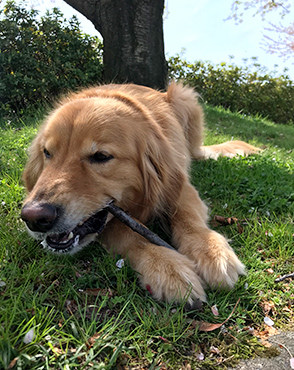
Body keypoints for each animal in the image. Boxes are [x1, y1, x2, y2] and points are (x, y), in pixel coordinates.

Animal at [21, 83, 260, 304]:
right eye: (47, 153)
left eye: (101, 156)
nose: (33, 217)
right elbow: (127, 233)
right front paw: (166, 266)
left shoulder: (179, 184)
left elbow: (188, 215)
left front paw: (211, 251)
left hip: (185, 98)